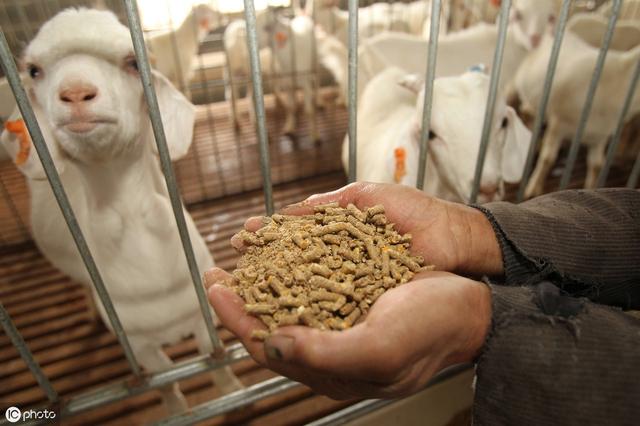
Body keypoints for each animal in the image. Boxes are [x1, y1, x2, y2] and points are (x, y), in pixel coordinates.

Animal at [0, 8, 242, 414]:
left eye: (133, 62)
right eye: (33, 70)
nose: (75, 92)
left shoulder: (200, 313)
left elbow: (216, 358)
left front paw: (233, 392)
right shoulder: (139, 343)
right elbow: (164, 381)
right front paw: (178, 410)